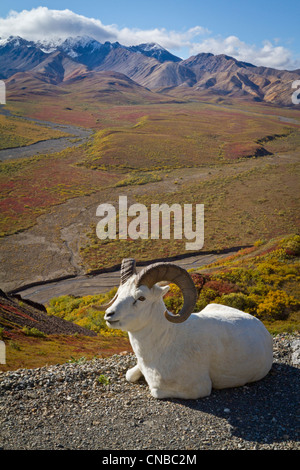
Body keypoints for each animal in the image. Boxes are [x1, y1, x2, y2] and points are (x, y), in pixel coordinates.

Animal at [95, 258, 274, 398]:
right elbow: (129, 375)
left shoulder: (197, 388)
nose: (109, 314)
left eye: (141, 298)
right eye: (119, 293)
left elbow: (155, 391)